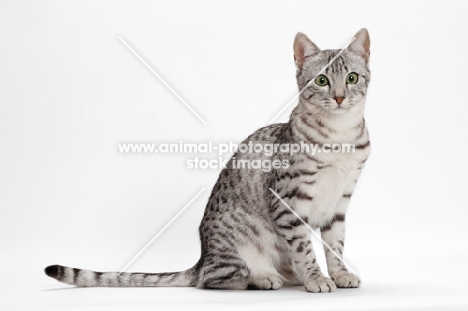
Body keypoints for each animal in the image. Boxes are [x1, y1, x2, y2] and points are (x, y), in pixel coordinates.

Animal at [45, 28, 372, 294]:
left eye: (352, 78)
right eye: (322, 80)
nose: (340, 97)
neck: (340, 136)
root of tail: (202, 258)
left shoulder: (339, 203)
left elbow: (335, 246)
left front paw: (339, 274)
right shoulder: (288, 201)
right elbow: (304, 248)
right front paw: (316, 278)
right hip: (235, 251)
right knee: (214, 279)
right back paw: (264, 277)